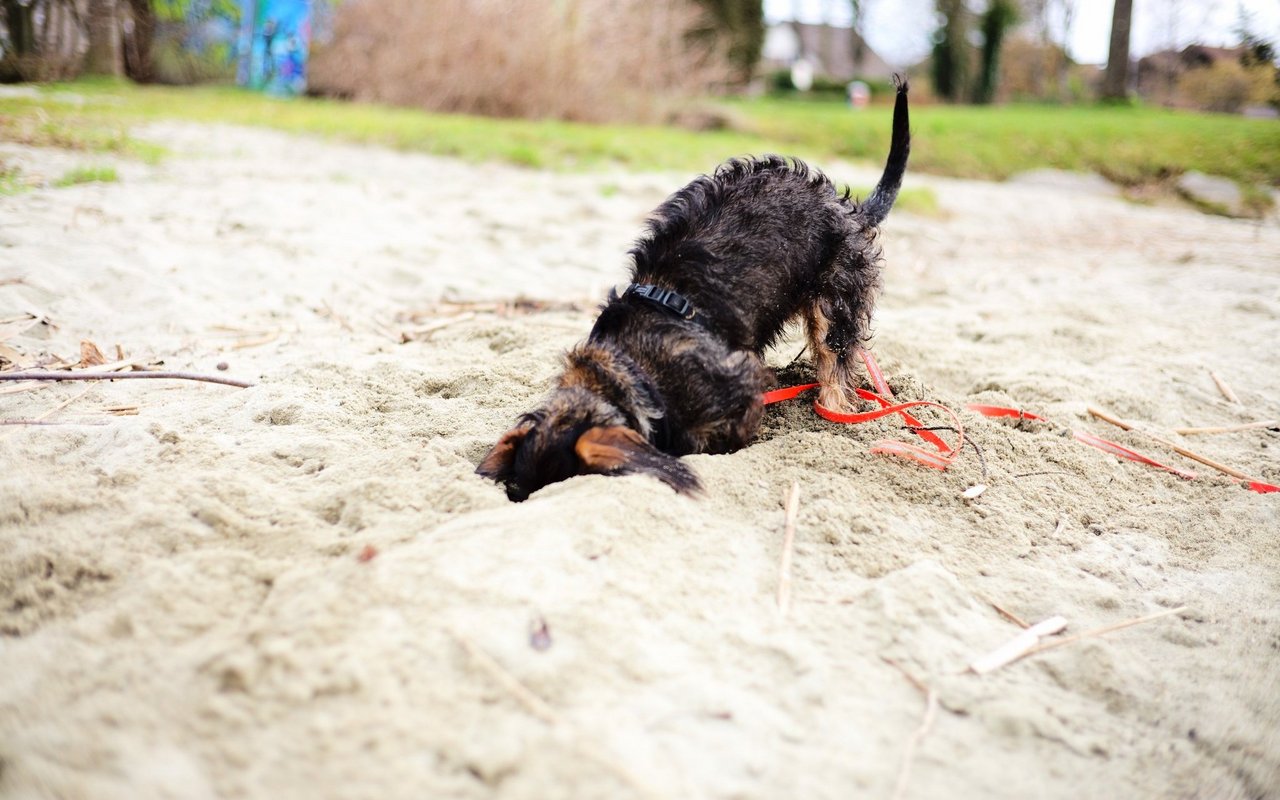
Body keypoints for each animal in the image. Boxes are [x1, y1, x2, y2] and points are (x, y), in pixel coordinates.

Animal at [478, 76, 911, 499]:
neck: (628, 372)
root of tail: (850, 211)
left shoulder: (743, 388)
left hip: (835, 302)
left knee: (835, 364)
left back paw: (834, 409)